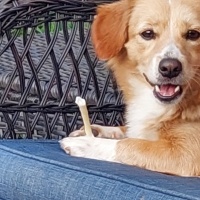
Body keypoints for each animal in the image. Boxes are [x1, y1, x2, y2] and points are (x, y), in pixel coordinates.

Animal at [59, 0, 200, 176]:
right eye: (148, 33)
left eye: (193, 34)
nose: (170, 68)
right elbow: (127, 131)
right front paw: (94, 130)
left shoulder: (186, 154)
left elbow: (131, 144)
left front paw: (89, 142)